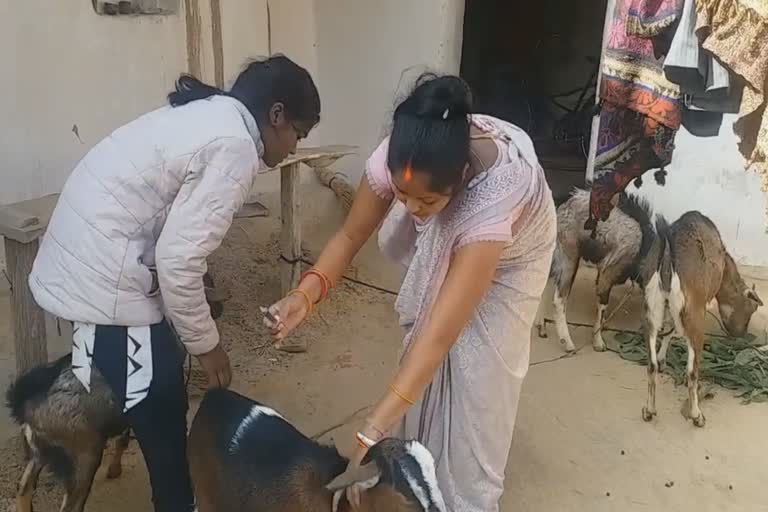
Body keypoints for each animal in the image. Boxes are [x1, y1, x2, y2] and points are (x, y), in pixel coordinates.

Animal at [536, 190, 656, 354]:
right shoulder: (608, 271)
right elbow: (603, 305)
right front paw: (598, 342)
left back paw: (541, 327)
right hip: (569, 255)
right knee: (559, 300)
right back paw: (567, 343)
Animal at [636, 210, 760, 426]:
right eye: (751, 309)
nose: (741, 334)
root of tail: (667, 265)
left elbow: (668, 332)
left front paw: (662, 358)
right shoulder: (698, 306)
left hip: (650, 309)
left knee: (651, 365)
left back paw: (649, 410)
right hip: (694, 319)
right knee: (692, 372)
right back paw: (697, 416)